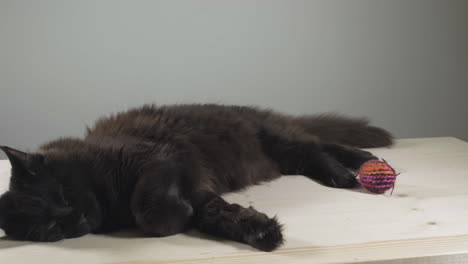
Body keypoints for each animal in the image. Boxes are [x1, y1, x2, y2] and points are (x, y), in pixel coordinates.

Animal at [0, 104, 392, 251]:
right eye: (51, 228)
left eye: (63, 194)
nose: (72, 216)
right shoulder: (197, 187)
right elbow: (218, 213)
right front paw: (262, 231)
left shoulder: (156, 160)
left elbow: (148, 207)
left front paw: (175, 215)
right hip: (283, 156)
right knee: (314, 152)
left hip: (277, 139)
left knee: (321, 146)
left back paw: (356, 166)